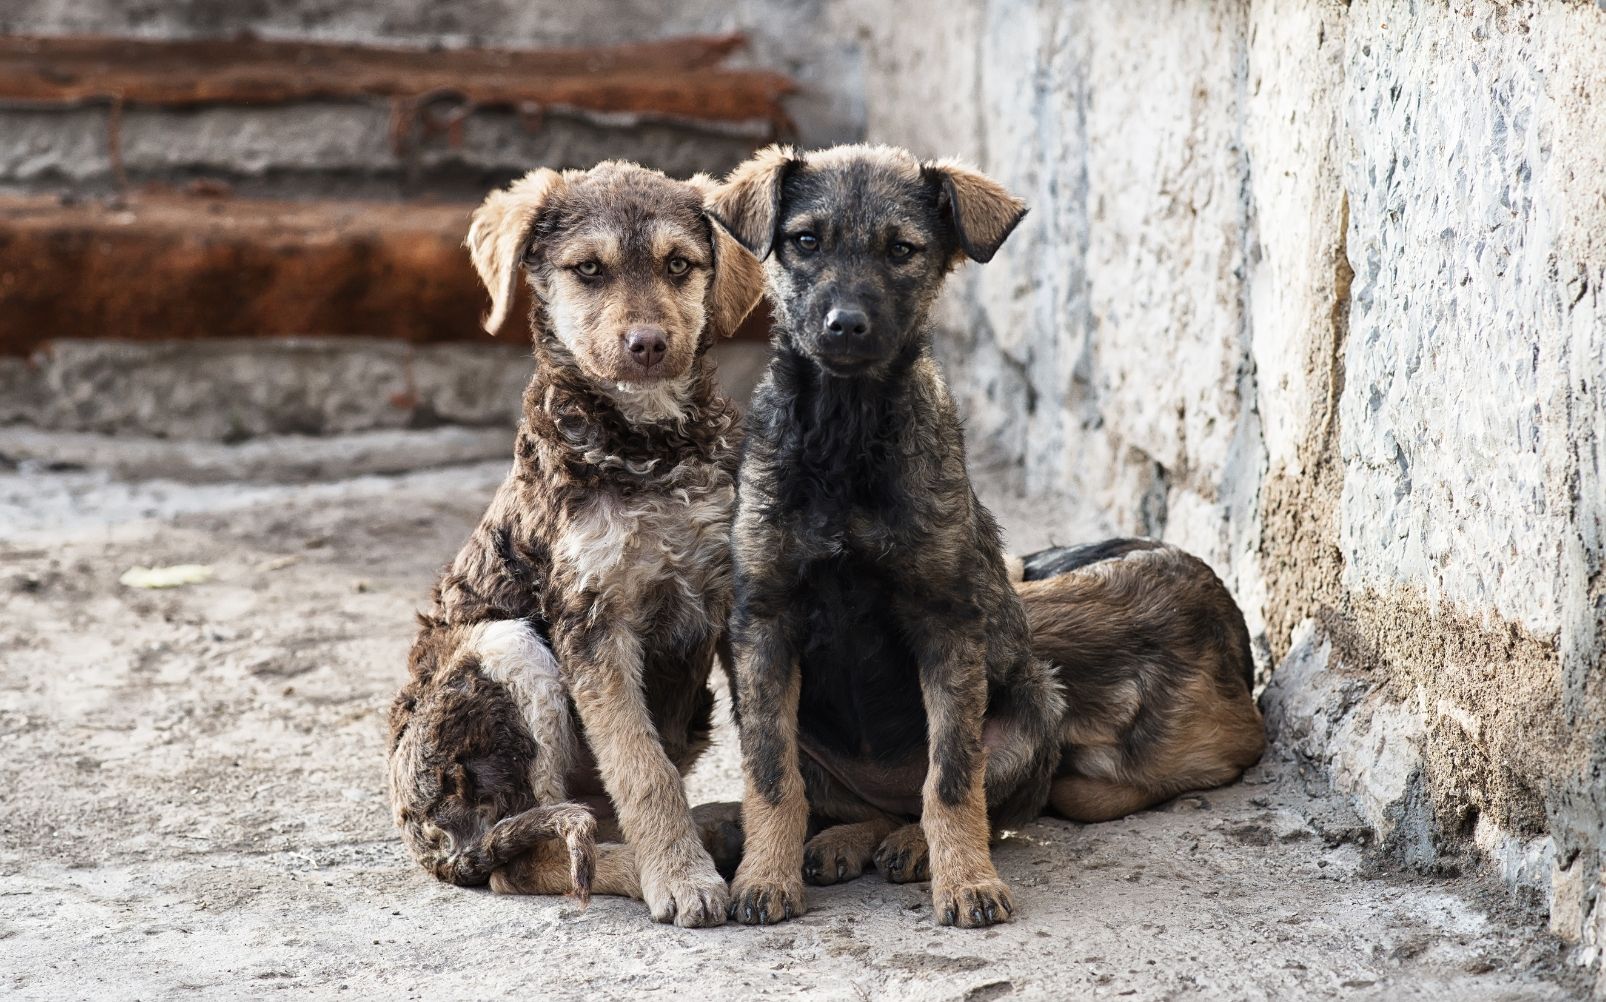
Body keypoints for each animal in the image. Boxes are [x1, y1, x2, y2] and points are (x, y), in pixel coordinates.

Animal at [706, 144, 1059, 924]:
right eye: (806, 241)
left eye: (902, 250)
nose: (845, 325)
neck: (844, 433)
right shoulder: (764, 624)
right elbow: (771, 780)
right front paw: (764, 877)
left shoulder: (946, 619)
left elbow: (952, 779)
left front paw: (966, 881)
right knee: (842, 801)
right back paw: (842, 842)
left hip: (1034, 709)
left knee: (941, 796)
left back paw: (912, 847)